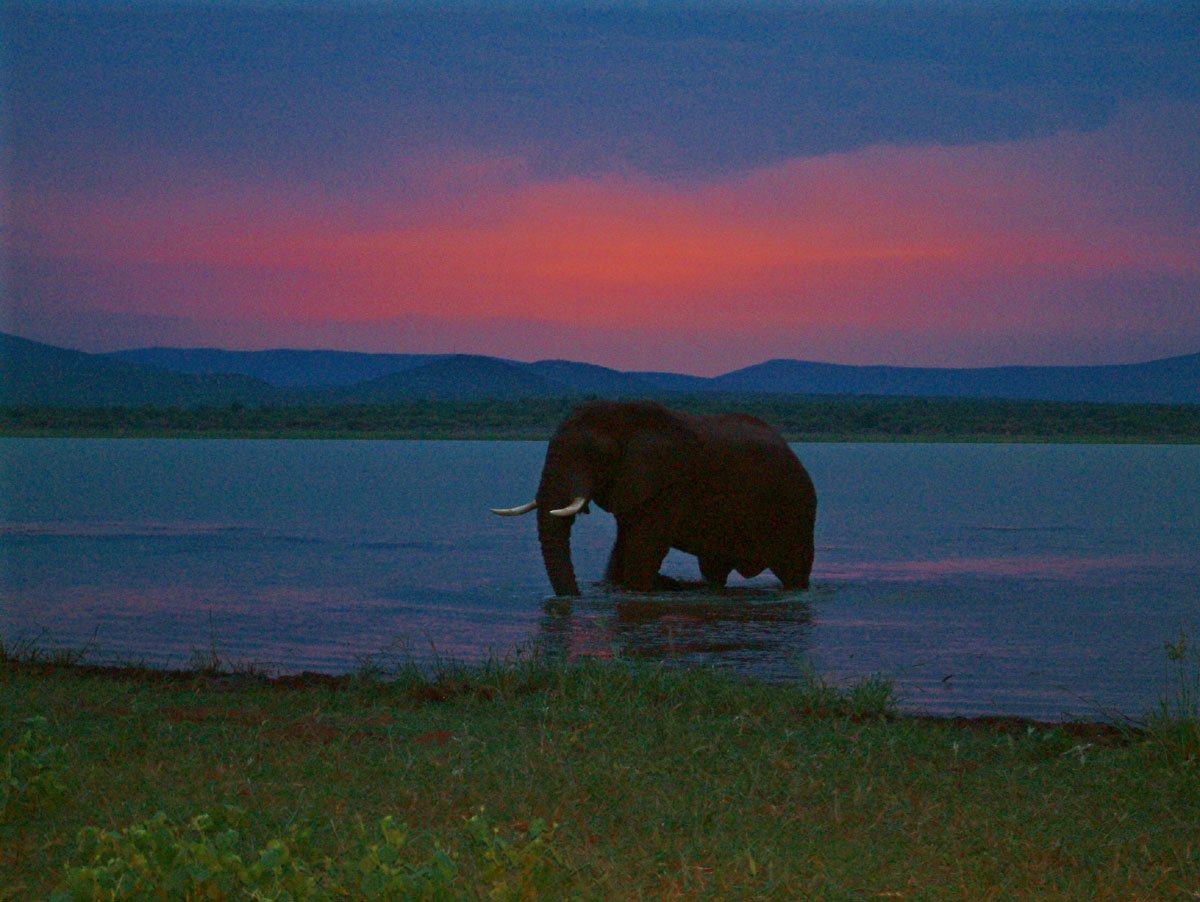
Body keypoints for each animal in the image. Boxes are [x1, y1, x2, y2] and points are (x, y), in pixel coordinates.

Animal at [491, 400, 817, 596]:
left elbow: (642, 549)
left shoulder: (671, 484)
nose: (578, 597)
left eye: (595, 455)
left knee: (794, 572)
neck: (622, 415)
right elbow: (623, 544)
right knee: (714, 569)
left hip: (797, 509)